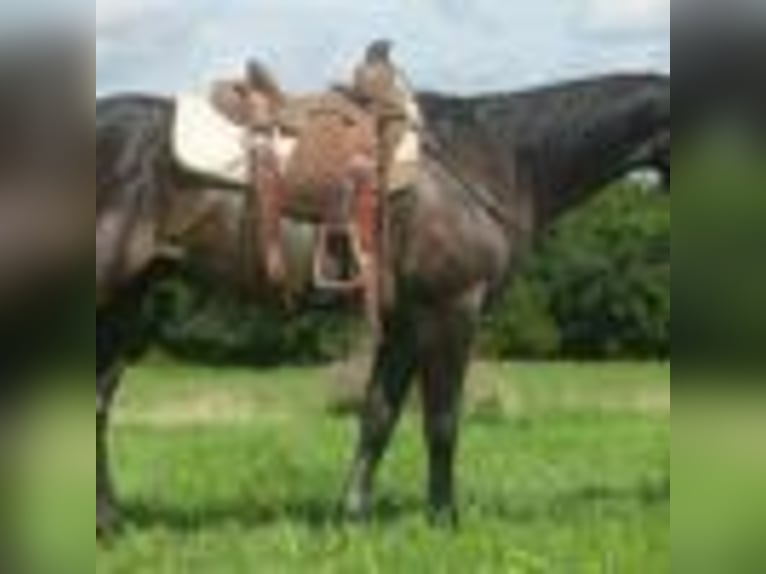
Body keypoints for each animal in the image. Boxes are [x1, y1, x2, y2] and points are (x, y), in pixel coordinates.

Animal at [96, 72, 669, 535]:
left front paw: (351, 517)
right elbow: (441, 420)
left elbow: (378, 416)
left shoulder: (406, 324)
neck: (495, 157)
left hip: (126, 301)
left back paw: (111, 523)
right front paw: (444, 521)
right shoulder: (451, 310)